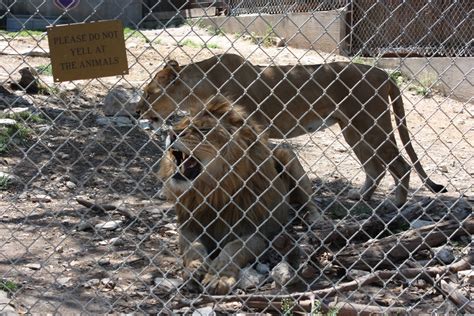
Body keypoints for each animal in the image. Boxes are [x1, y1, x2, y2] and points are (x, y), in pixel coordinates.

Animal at [139, 53, 446, 207]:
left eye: (149, 93)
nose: (136, 111)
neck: (199, 90)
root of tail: (384, 74)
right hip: (353, 129)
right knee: (375, 167)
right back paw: (361, 197)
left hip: (370, 124)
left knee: (400, 165)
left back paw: (396, 205)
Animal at [159, 95, 318, 294]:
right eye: (181, 124)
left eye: (204, 129)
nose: (172, 133)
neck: (214, 191)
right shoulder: (189, 225)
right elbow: (193, 247)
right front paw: (195, 268)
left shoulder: (256, 234)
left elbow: (232, 249)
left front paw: (219, 278)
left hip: (289, 158)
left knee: (311, 202)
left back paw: (313, 219)